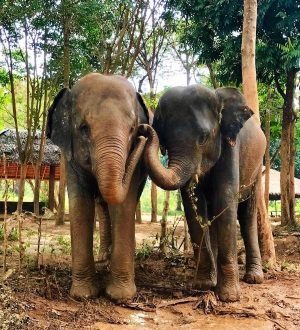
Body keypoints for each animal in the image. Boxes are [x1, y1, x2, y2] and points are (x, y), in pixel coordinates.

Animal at [46, 73, 150, 300]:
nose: (144, 134)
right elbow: (81, 204)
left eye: (132, 129)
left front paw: (120, 296)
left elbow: (123, 206)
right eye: (84, 128)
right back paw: (104, 258)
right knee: (101, 205)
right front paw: (83, 294)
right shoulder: (70, 158)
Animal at [142, 84, 266, 302]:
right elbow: (194, 205)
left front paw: (229, 297)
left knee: (247, 215)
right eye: (164, 141)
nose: (144, 129)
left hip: (258, 167)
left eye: (203, 138)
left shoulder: (230, 145)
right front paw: (203, 285)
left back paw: (254, 278)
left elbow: (225, 198)